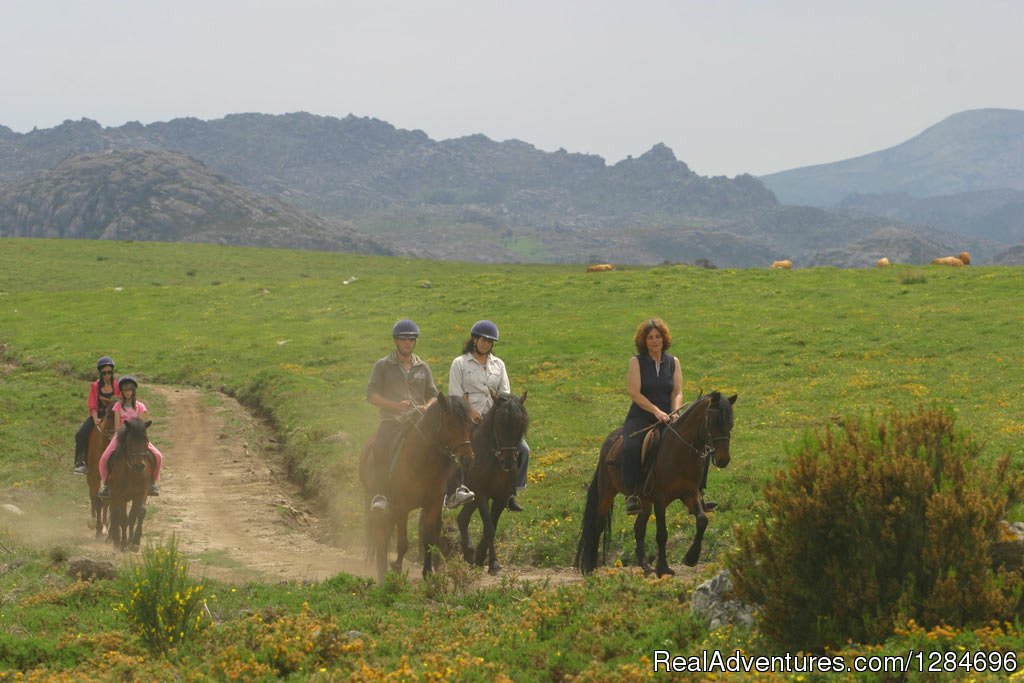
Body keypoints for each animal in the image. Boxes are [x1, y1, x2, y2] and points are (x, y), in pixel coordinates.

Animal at [107, 419, 152, 552]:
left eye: (146, 440)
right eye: (130, 441)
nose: (139, 466)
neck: (132, 472)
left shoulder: (141, 493)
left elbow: (135, 515)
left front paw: (134, 541)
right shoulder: (121, 495)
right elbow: (123, 519)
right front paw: (123, 543)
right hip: (113, 495)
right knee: (115, 514)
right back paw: (116, 540)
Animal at [358, 395, 473, 581]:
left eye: (469, 422)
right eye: (450, 423)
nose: (467, 458)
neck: (421, 460)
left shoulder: (432, 506)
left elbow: (429, 540)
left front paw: (427, 573)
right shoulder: (402, 507)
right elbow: (402, 543)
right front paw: (396, 567)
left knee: (384, 534)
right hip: (375, 500)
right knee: (380, 535)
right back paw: (382, 573)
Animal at [460, 393, 532, 573]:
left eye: (520, 423)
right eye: (499, 423)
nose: (508, 462)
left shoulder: (501, 497)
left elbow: (492, 525)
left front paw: (481, 556)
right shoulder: (481, 495)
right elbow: (489, 527)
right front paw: (493, 562)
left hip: (471, 499)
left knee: (462, 519)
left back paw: (469, 554)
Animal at [577, 393, 737, 581]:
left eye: (731, 424)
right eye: (714, 422)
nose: (723, 460)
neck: (681, 453)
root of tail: (609, 441)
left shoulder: (691, 494)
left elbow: (702, 521)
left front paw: (691, 557)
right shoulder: (661, 499)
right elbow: (662, 534)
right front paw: (663, 568)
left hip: (644, 501)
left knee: (639, 529)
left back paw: (646, 567)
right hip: (607, 492)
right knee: (598, 525)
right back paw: (591, 567)